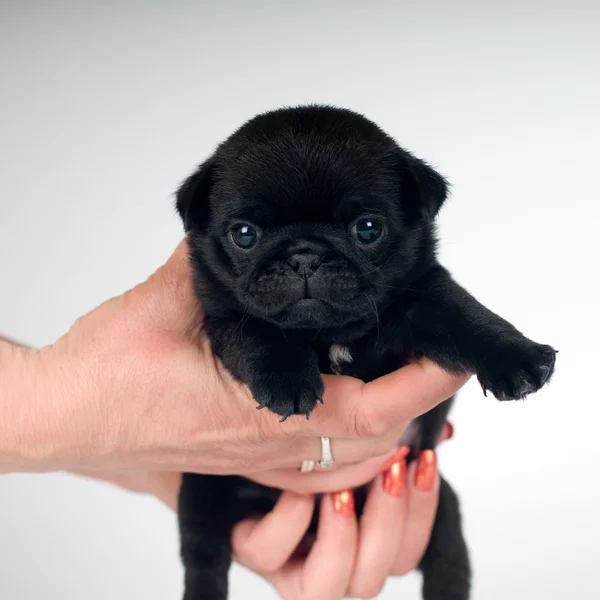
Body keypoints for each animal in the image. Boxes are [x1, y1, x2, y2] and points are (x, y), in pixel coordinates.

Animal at [172, 105, 552, 596]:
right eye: (244, 234)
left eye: (368, 229)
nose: (304, 256)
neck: (328, 332)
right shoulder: (223, 320)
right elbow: (258, 332)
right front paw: (286, 379)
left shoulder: (423, 292)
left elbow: (466, 313)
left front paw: (518, 356)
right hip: (201, 490)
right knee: (203, 559)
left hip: (440, 502)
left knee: (449, 561)